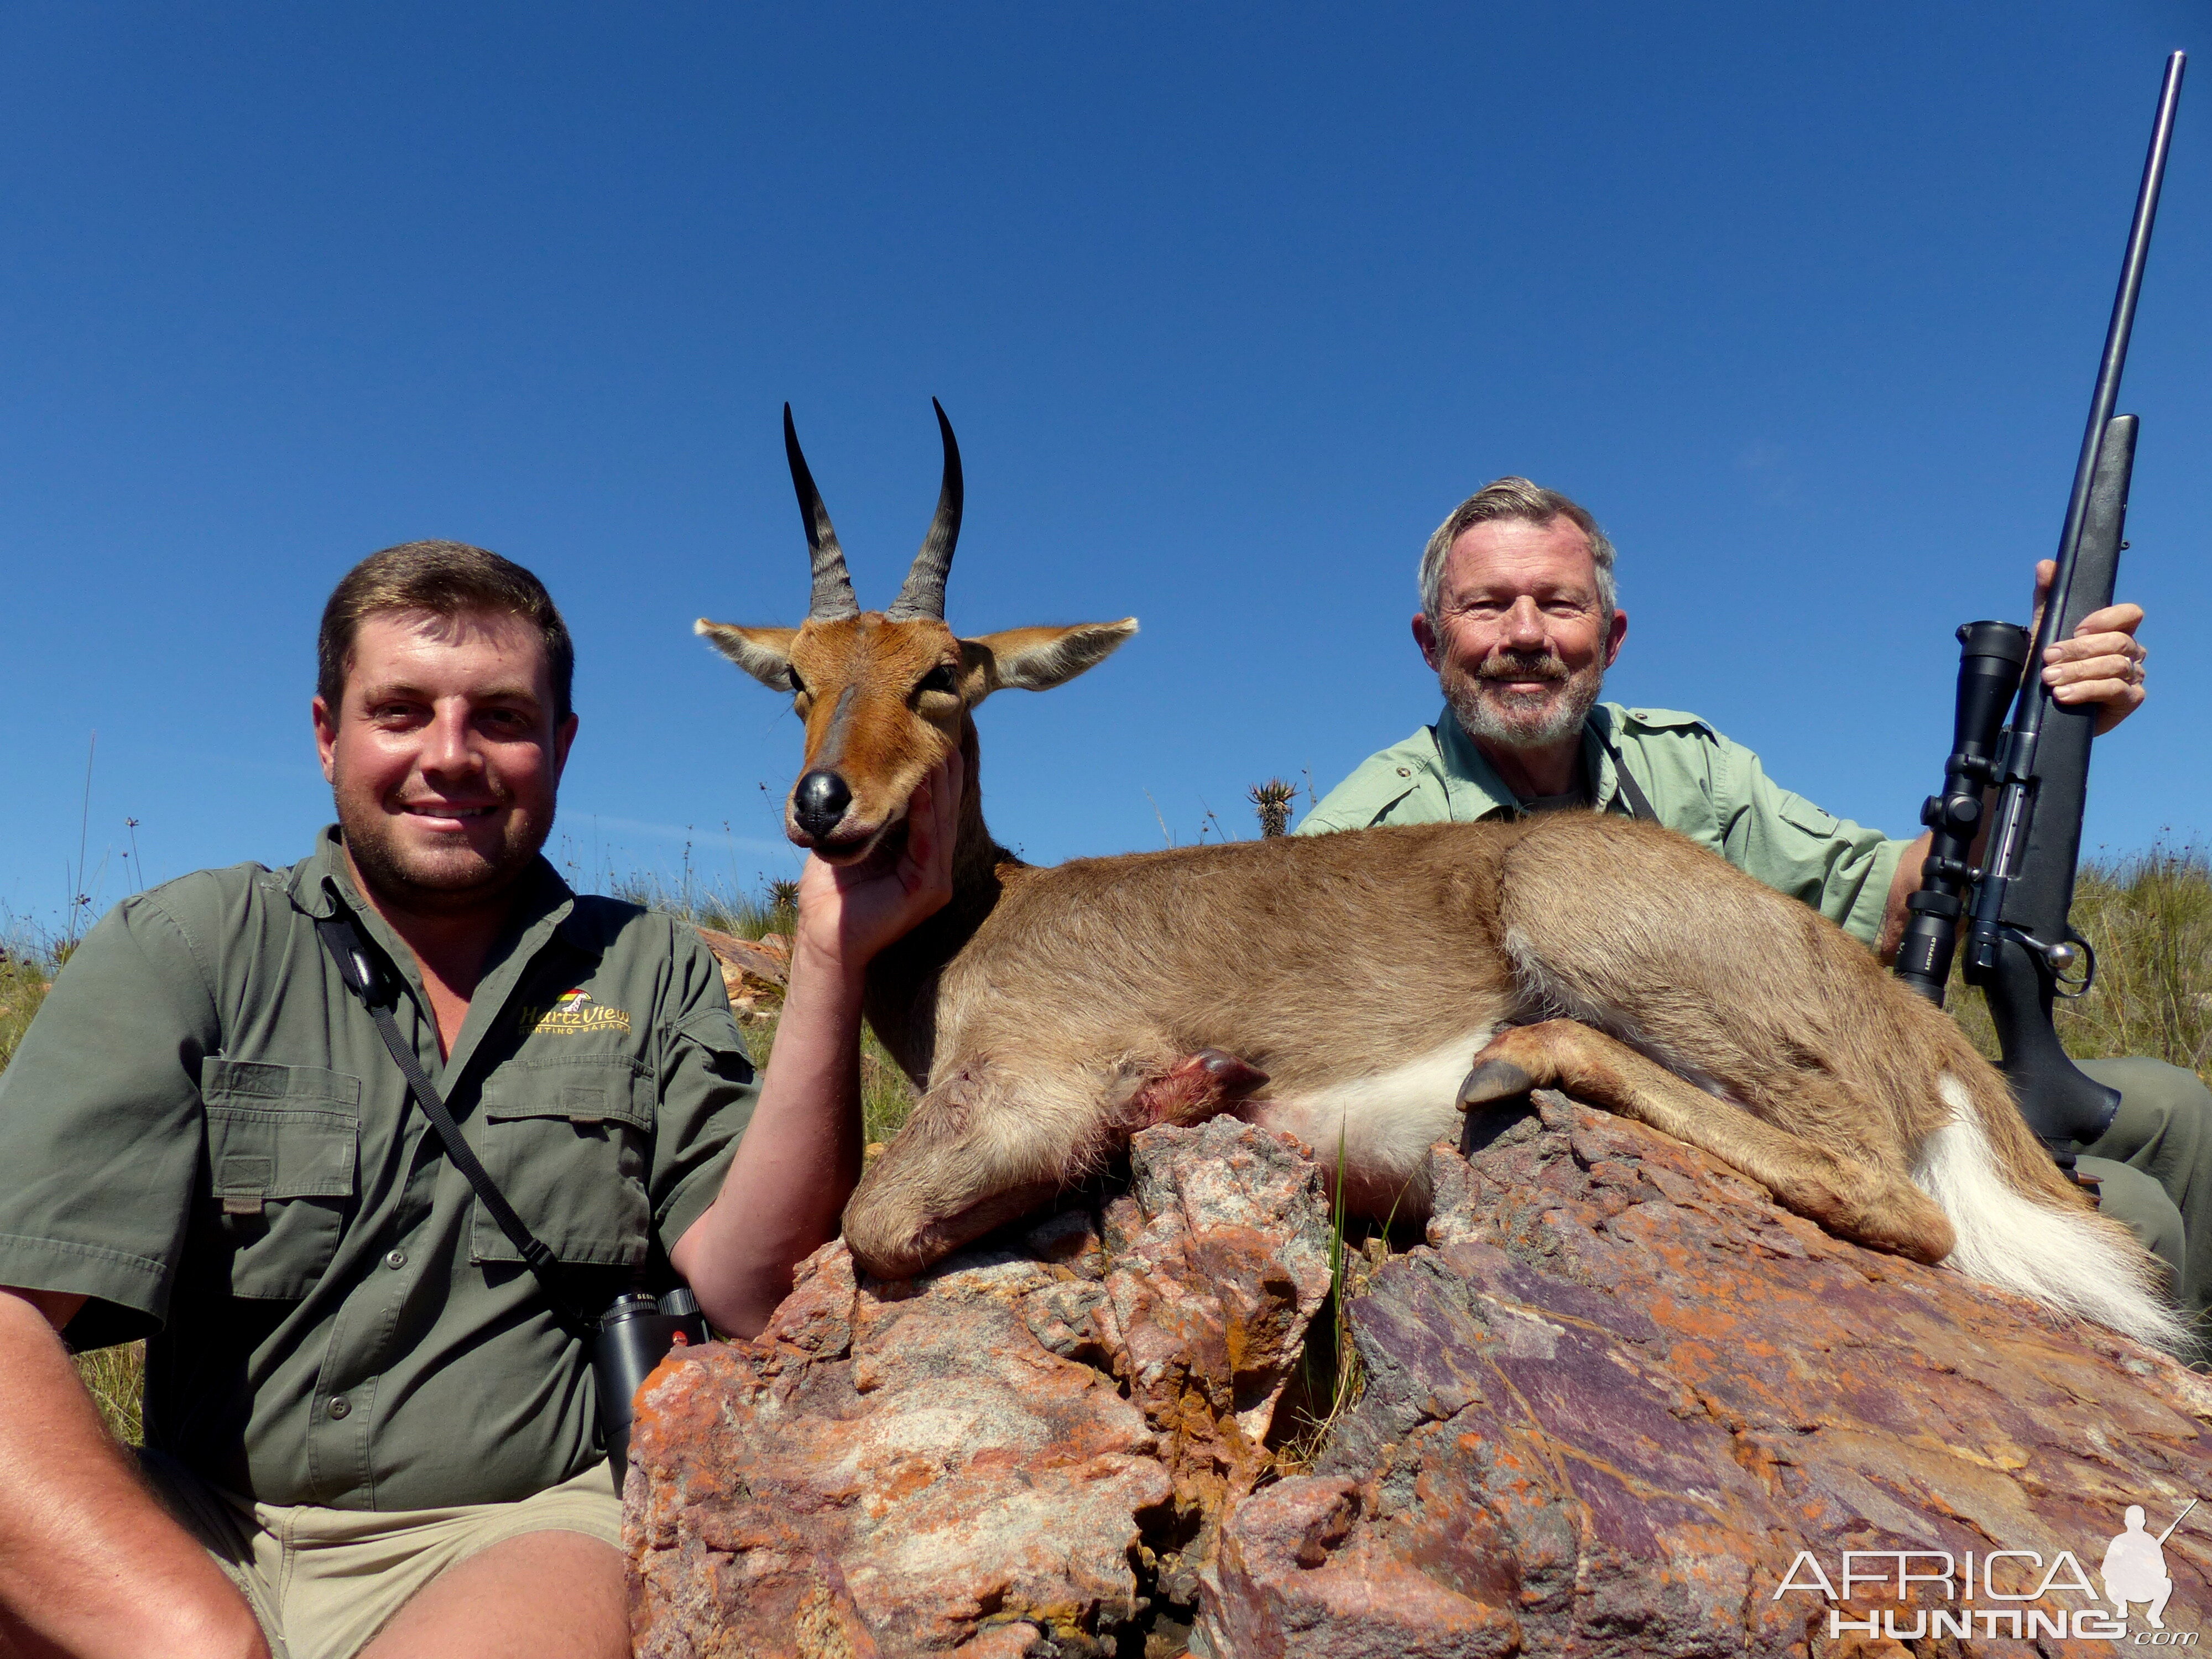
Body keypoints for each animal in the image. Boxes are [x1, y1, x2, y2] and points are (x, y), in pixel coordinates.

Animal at [699, 409, 2185, 1354]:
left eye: (943, 672)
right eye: (796, 682)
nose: (823, 806)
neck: (985, 917)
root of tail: (1920, 1029)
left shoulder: (1030, 1084)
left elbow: (879, 1219)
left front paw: (1168, 1109)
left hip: (1592, 935)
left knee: (1889, 1197)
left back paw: (1510, 1058)